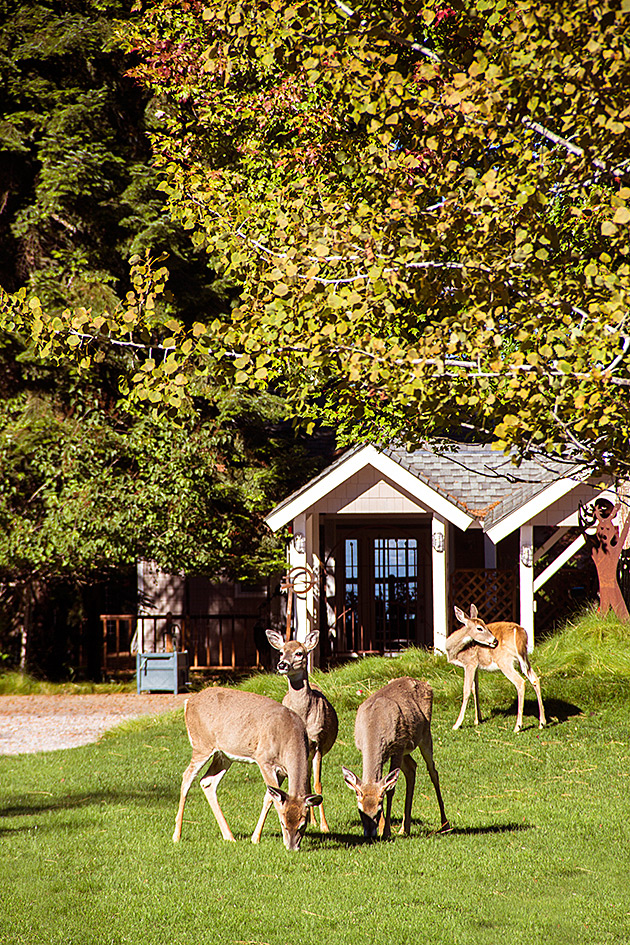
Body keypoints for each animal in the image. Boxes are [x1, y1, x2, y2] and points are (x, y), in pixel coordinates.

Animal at [172, 687, 322, 852]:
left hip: (223, 755)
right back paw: (176, 836)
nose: (292, 847)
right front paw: (256, 838)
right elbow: (272, 798)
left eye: (303, 824)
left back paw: (229, 836)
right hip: (202, 745)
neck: (288, 736)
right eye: (283, 823)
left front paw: (255, 837)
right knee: (187, 776)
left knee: (207, 781)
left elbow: (269, 797)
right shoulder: (264, 759)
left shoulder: (282, 771)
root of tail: (188, 702)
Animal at [262, 628, 338, 833]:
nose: (282, 664)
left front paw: (325, 826)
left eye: (299, 653)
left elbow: (318, 784)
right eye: (281, 652)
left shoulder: (318, 743)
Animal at [341, 676, 449, 840]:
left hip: (424, 735)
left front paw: (386, 831)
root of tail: (425, 684)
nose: (370, 834)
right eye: (361, 811)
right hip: (405, 749)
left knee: (433, 772)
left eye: (378, 811)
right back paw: (405, 828)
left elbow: (390, 790)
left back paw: (445, 825)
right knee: (412, 767)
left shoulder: (397, 748)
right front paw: (382, 829)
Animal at [447, 604, 547, 733]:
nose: (494, 640)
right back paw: (542, 723)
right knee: (535, 679)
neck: (454, 651)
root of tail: (519, 631)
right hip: (524, 658)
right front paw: (477, 719)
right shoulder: (476, 666)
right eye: (480, 628)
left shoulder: (470, 663)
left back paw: (518, 726)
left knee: (520, 682)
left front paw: (457, 724)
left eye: (485, 625)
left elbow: (466, 691)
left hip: (504, 660)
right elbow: (475, 689)